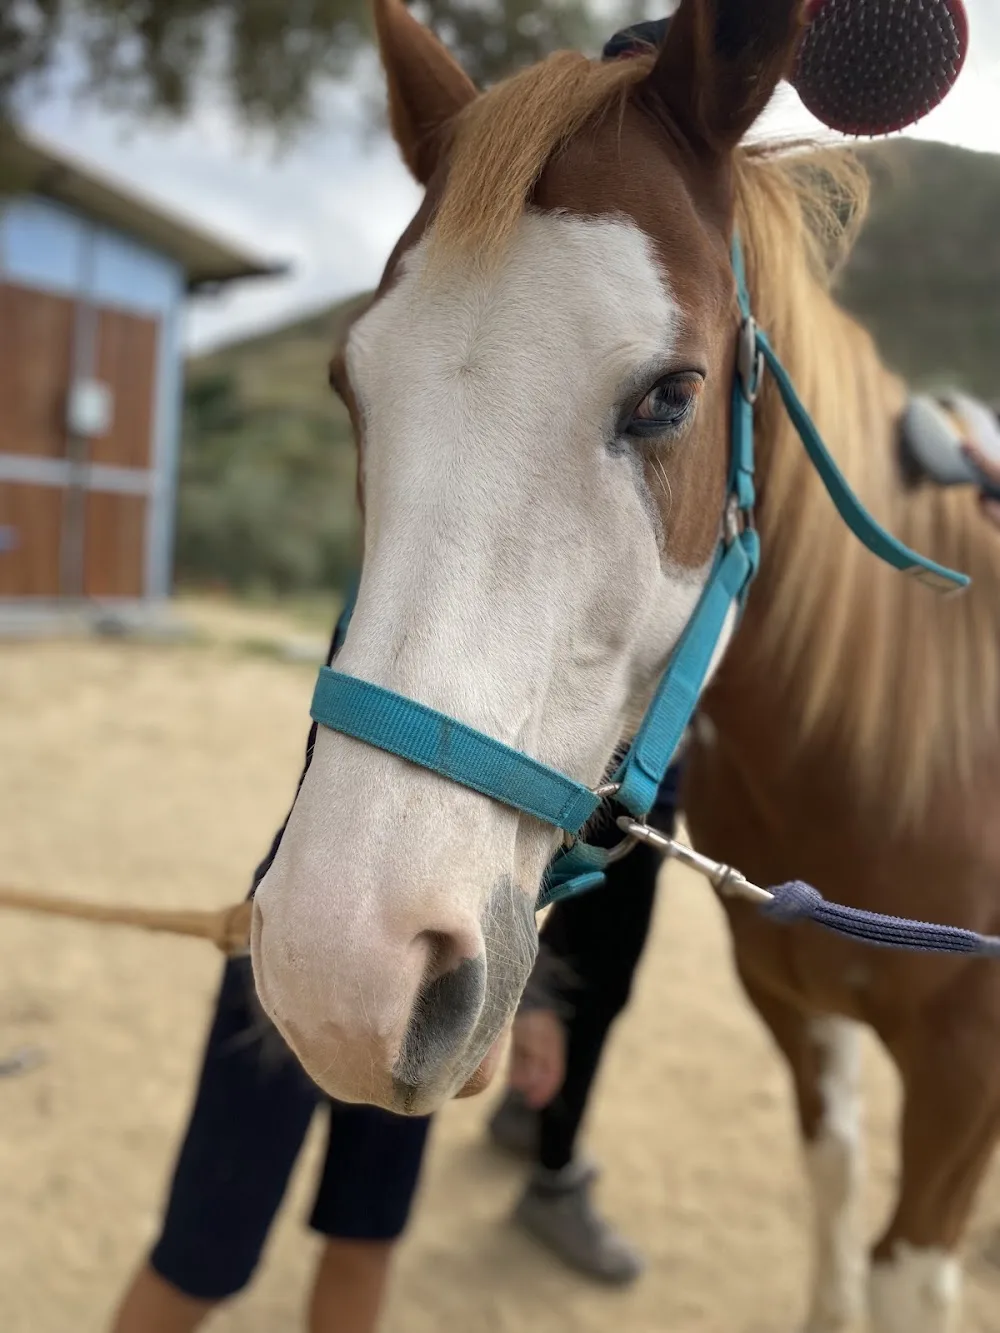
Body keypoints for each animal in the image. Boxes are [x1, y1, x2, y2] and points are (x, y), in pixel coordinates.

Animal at [248, 0, 1000, 1327]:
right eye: (350, 385)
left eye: (669, 394)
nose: (339, 971)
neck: (893, 752)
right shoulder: (802, 1017)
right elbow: (833, 1190)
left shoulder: (964, 1085)